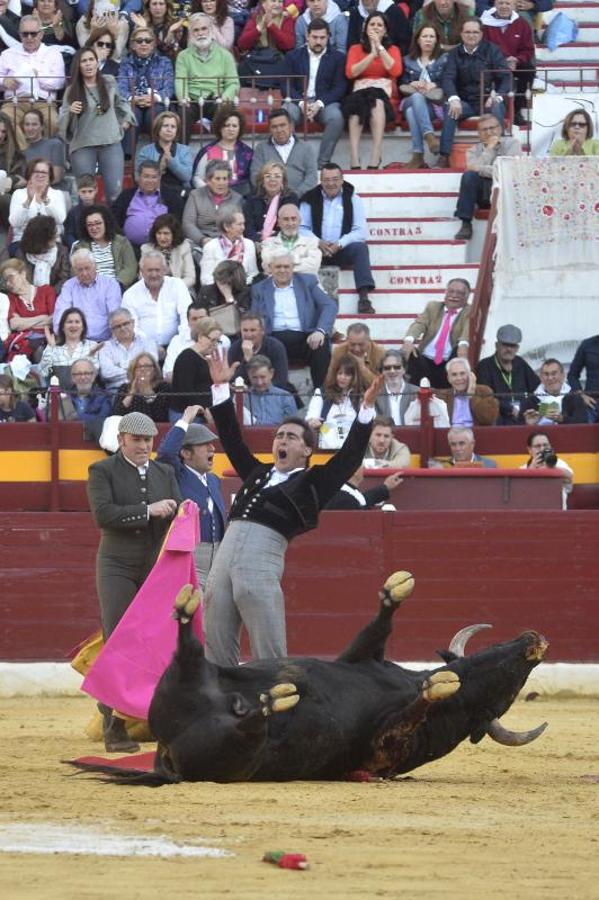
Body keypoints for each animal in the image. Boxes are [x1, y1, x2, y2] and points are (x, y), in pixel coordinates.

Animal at [70, 572, 548, 784]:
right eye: (487, 657)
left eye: (500, 699)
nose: (534, 639)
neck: (405, 683)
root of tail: (164, 754)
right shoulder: (360, 657)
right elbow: (374, 631)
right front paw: (395, 593)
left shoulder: (381, 754)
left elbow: (403, 719)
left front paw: (435, 689)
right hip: (181, 685)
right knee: (189, 653)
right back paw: (189, 609)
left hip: (230, 753)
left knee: (246, 726)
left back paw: (270, 701)